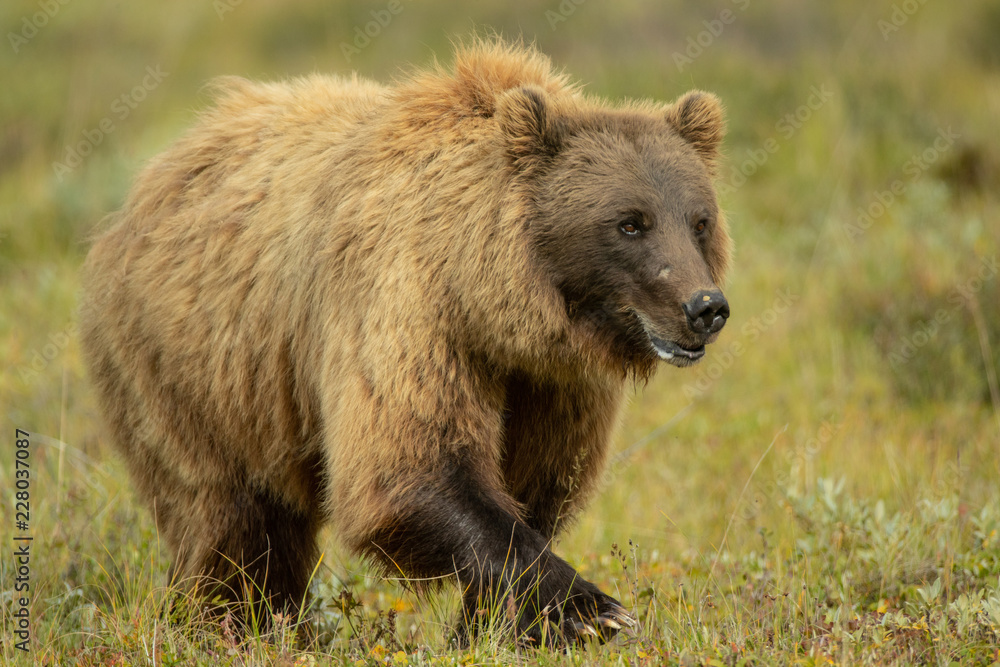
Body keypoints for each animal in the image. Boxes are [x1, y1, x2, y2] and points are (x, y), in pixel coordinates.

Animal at [79, 39, 731, 644]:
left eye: (699, 220)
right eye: (630, 222)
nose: (705, 308)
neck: (494, 305)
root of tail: (151, 179)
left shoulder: (551, 382)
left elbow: (535, 483)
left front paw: (499, 626)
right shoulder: (406, 308)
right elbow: (408, 465)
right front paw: (594, 610)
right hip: (198, 370)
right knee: (230, 520)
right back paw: (235, 622)